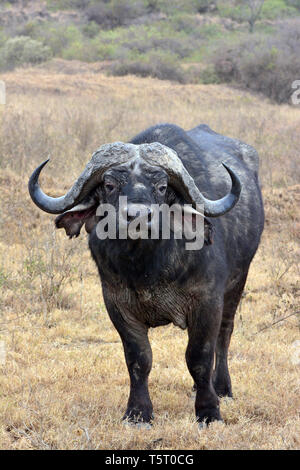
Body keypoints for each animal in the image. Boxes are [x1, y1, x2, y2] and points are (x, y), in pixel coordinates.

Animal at [27, 124, 262, 426]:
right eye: (109, 185)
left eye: (161, 187)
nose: (137, 216)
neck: (147, 267)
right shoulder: (117, 304)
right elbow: (139, 358)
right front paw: (138, 413)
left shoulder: (208, 301)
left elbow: (199, 356)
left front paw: (208, 411)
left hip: (237, 284)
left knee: (224, 335)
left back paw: (221, 387)